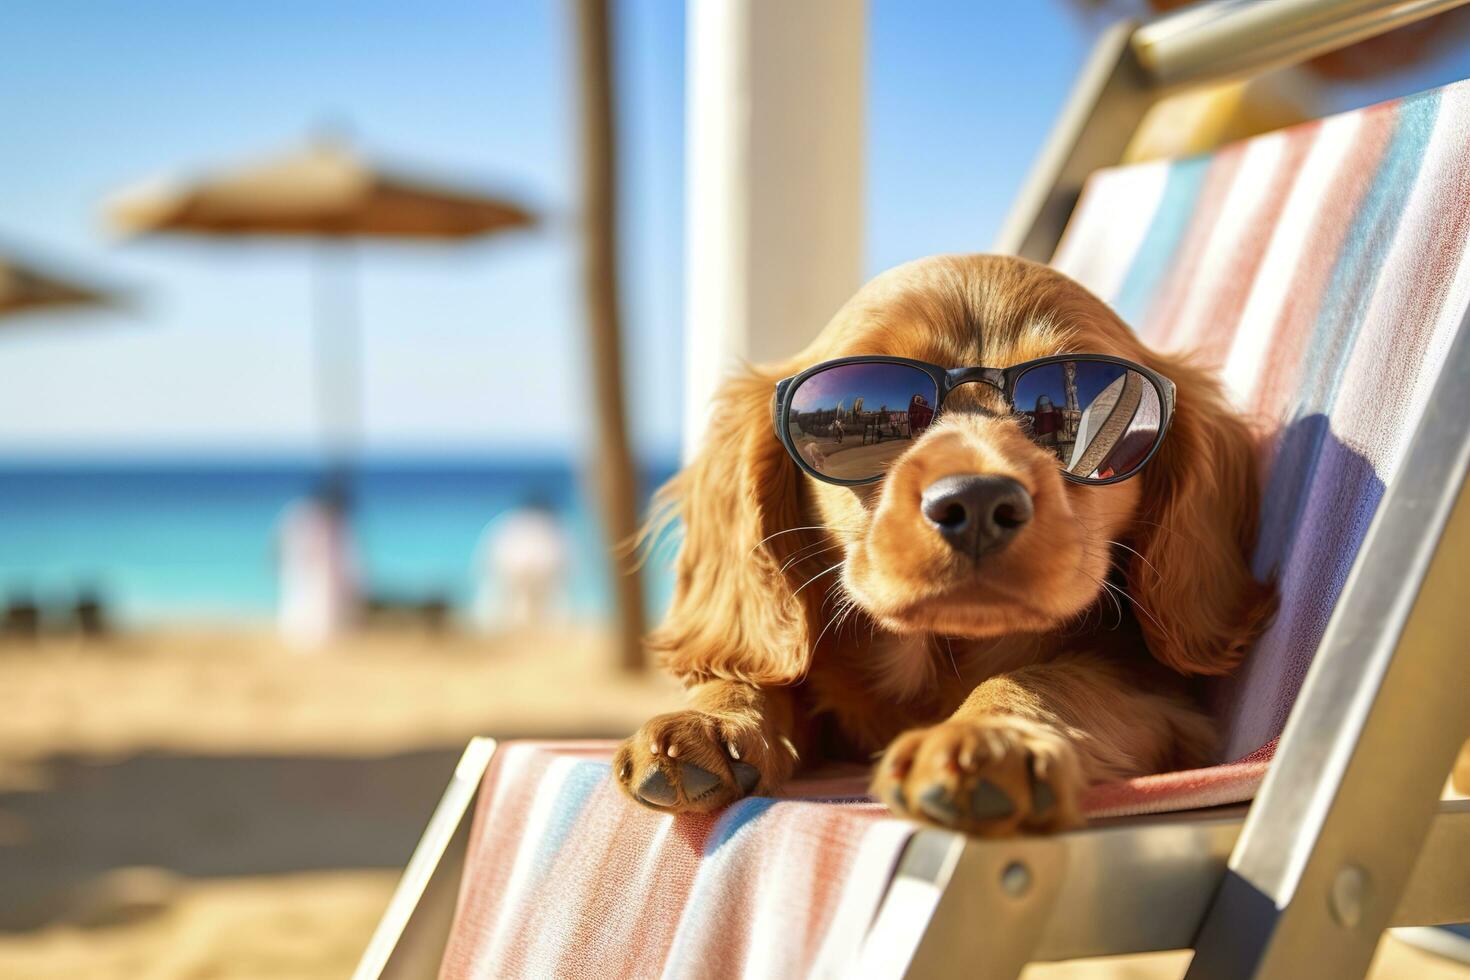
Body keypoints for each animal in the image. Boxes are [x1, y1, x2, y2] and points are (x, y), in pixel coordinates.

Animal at [614, 255, 1270, 834]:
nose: (976, 502)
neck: (942, 653)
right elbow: (766, 675)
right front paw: (708, 716)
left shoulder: (1169, 705)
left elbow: (1056, 677)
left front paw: (985, 739)